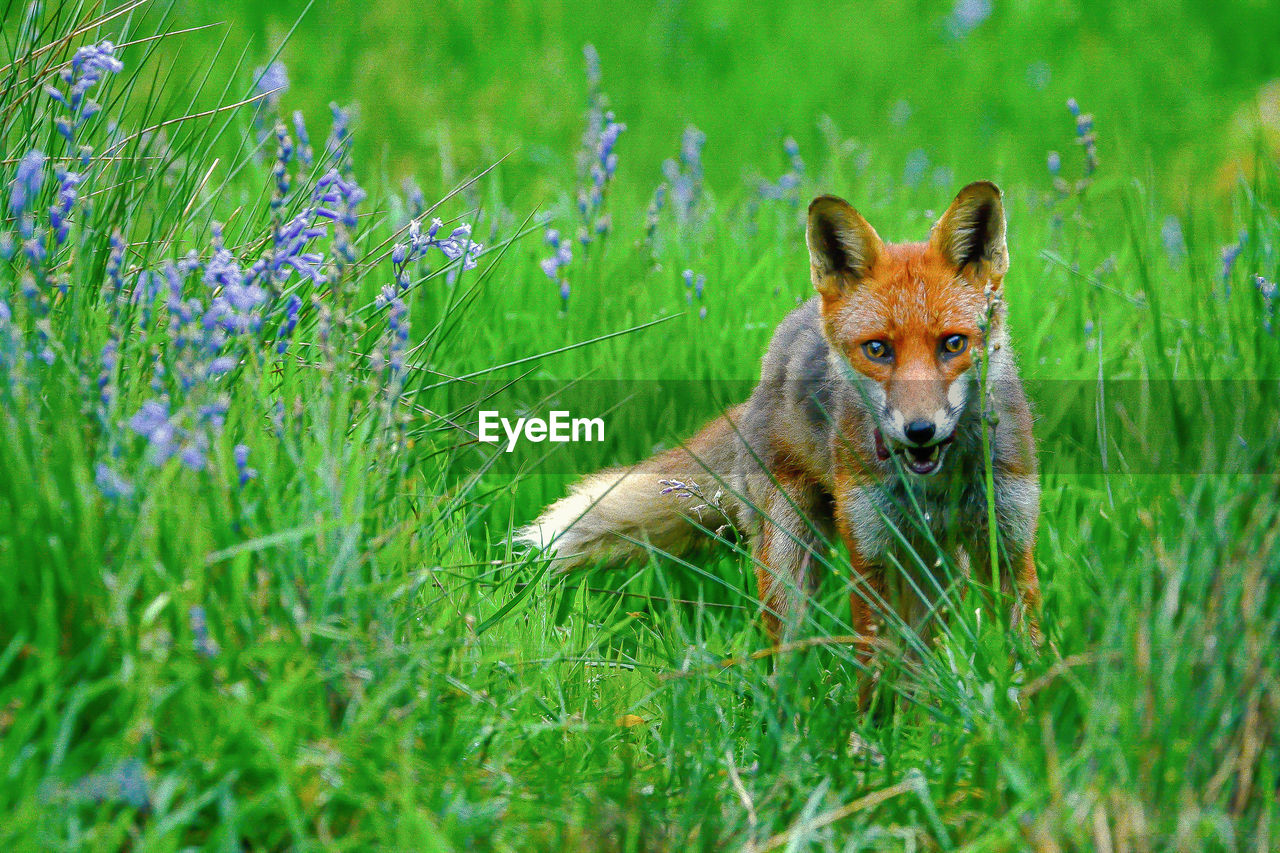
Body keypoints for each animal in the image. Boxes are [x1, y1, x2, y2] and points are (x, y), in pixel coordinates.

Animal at [517, 184, 1039, 671]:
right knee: (787, 655)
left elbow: (1025, 653)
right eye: (877, 350)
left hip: (942, 568)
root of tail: (764, 376)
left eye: (953, 344)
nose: (919, 431)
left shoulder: (1009, 543)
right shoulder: (872, 550)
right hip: (791, 554)